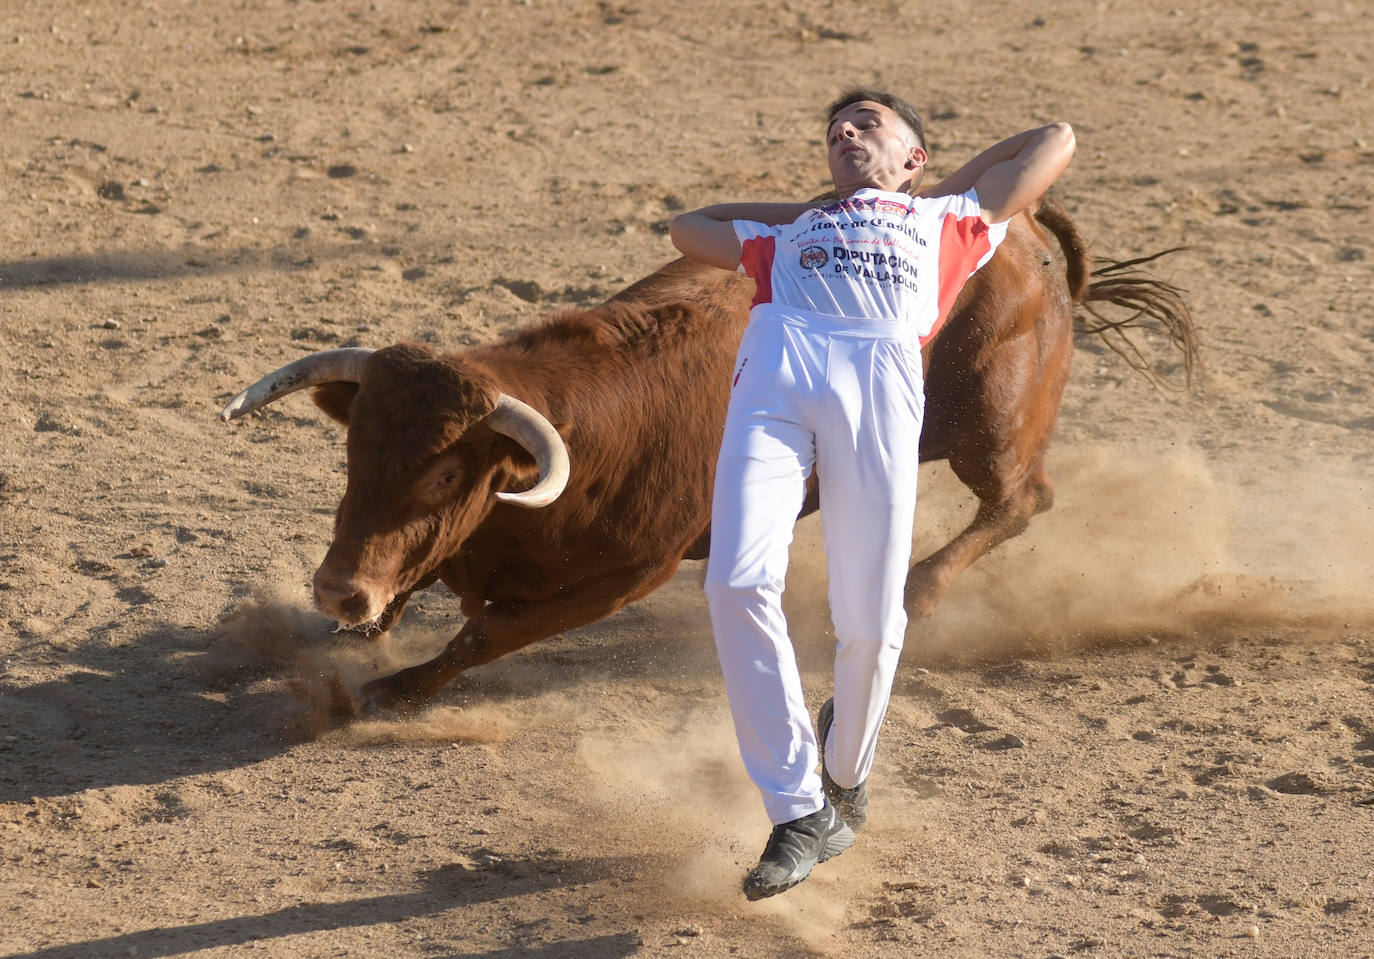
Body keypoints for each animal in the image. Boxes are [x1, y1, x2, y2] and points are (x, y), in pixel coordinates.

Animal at [219, 196, 1187, 708]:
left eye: (448, 471)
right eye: (355, 451)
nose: (336, 587)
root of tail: (1010, 226)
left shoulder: (633, 572)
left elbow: (488, 630)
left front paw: (393, 688)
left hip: (988, 423)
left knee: (1023, 497)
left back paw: (916, 590)